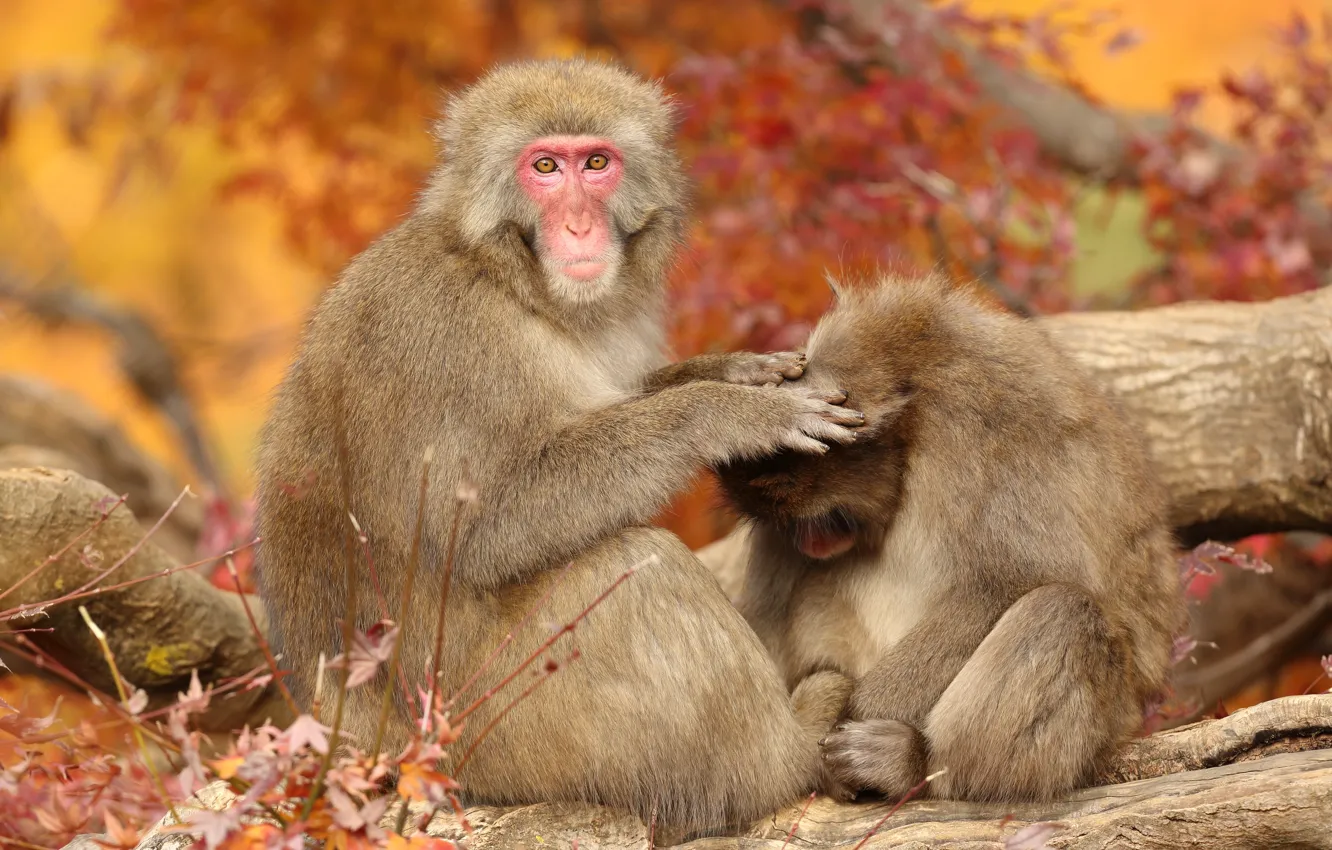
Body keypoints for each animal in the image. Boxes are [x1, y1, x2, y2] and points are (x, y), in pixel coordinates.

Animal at [252, 58, 865, 835]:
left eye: (596, 163)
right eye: (544, 167)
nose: (579, 224)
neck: (509, 280)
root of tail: (358, 740)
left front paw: (730, 370)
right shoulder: (447, 340)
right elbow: (483, 530)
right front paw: (726, 412)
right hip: (489, 731)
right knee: (640, 571)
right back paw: (789, 759)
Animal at [715, 273, 1186, 804]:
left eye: (827, 517)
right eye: (788, 522)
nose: (811, 544)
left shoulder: (981, 421)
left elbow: (1012, 580)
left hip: (1114, 713)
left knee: (1063, 611)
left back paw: (916, 764)